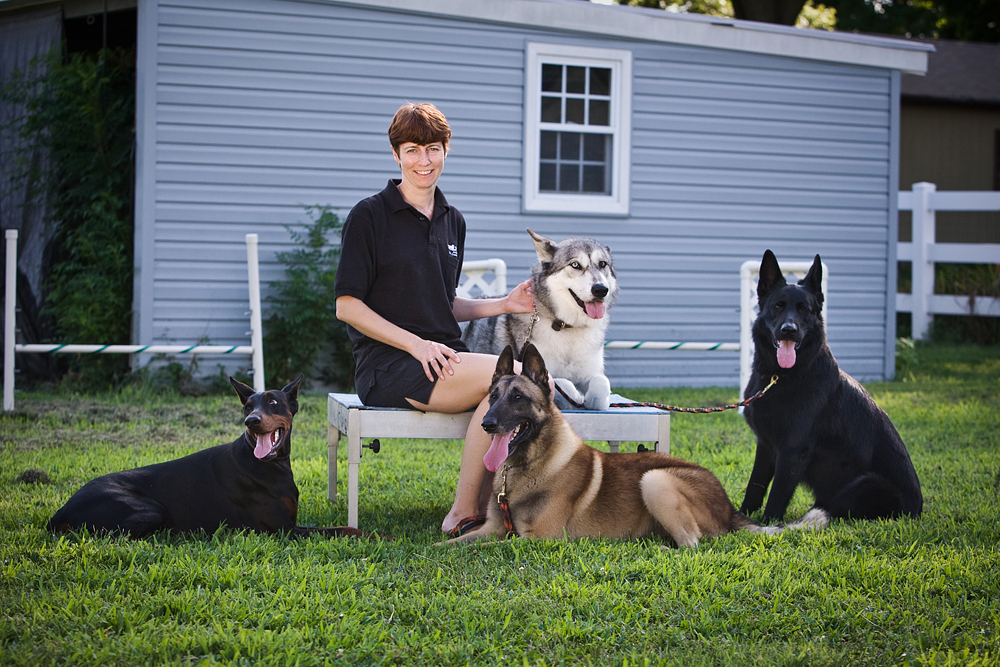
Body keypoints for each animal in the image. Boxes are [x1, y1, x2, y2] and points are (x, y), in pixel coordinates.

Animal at [48, 378, 364, 540]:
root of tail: (61, 511)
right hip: (151, 509)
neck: (268, 464)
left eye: (273, 402)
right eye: (248, 406)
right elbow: (344, 529)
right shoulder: (284, 529)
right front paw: (372, 535)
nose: (251, 421)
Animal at [446, 344, 812, 548]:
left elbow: (487, 548)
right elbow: (449, 543)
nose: (487, 424)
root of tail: (728, 506)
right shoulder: (491, 529)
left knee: (692, 544)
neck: (528, 467)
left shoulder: (534, 540)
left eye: (518, 398)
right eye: (492, 397)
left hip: (655, 480)